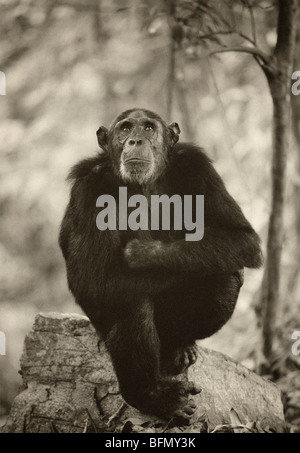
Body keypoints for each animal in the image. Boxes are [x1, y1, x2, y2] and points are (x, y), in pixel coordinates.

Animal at [59, 107, 262, 422]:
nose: (135, 140)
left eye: (148, 128)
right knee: (129, 299)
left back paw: (180, 347)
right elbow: (93, 281)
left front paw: (146, 253)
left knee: (225, 273)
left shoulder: (199, 168)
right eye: (125, 129)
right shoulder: (88, 189)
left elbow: (242, 238)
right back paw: (154, 397)